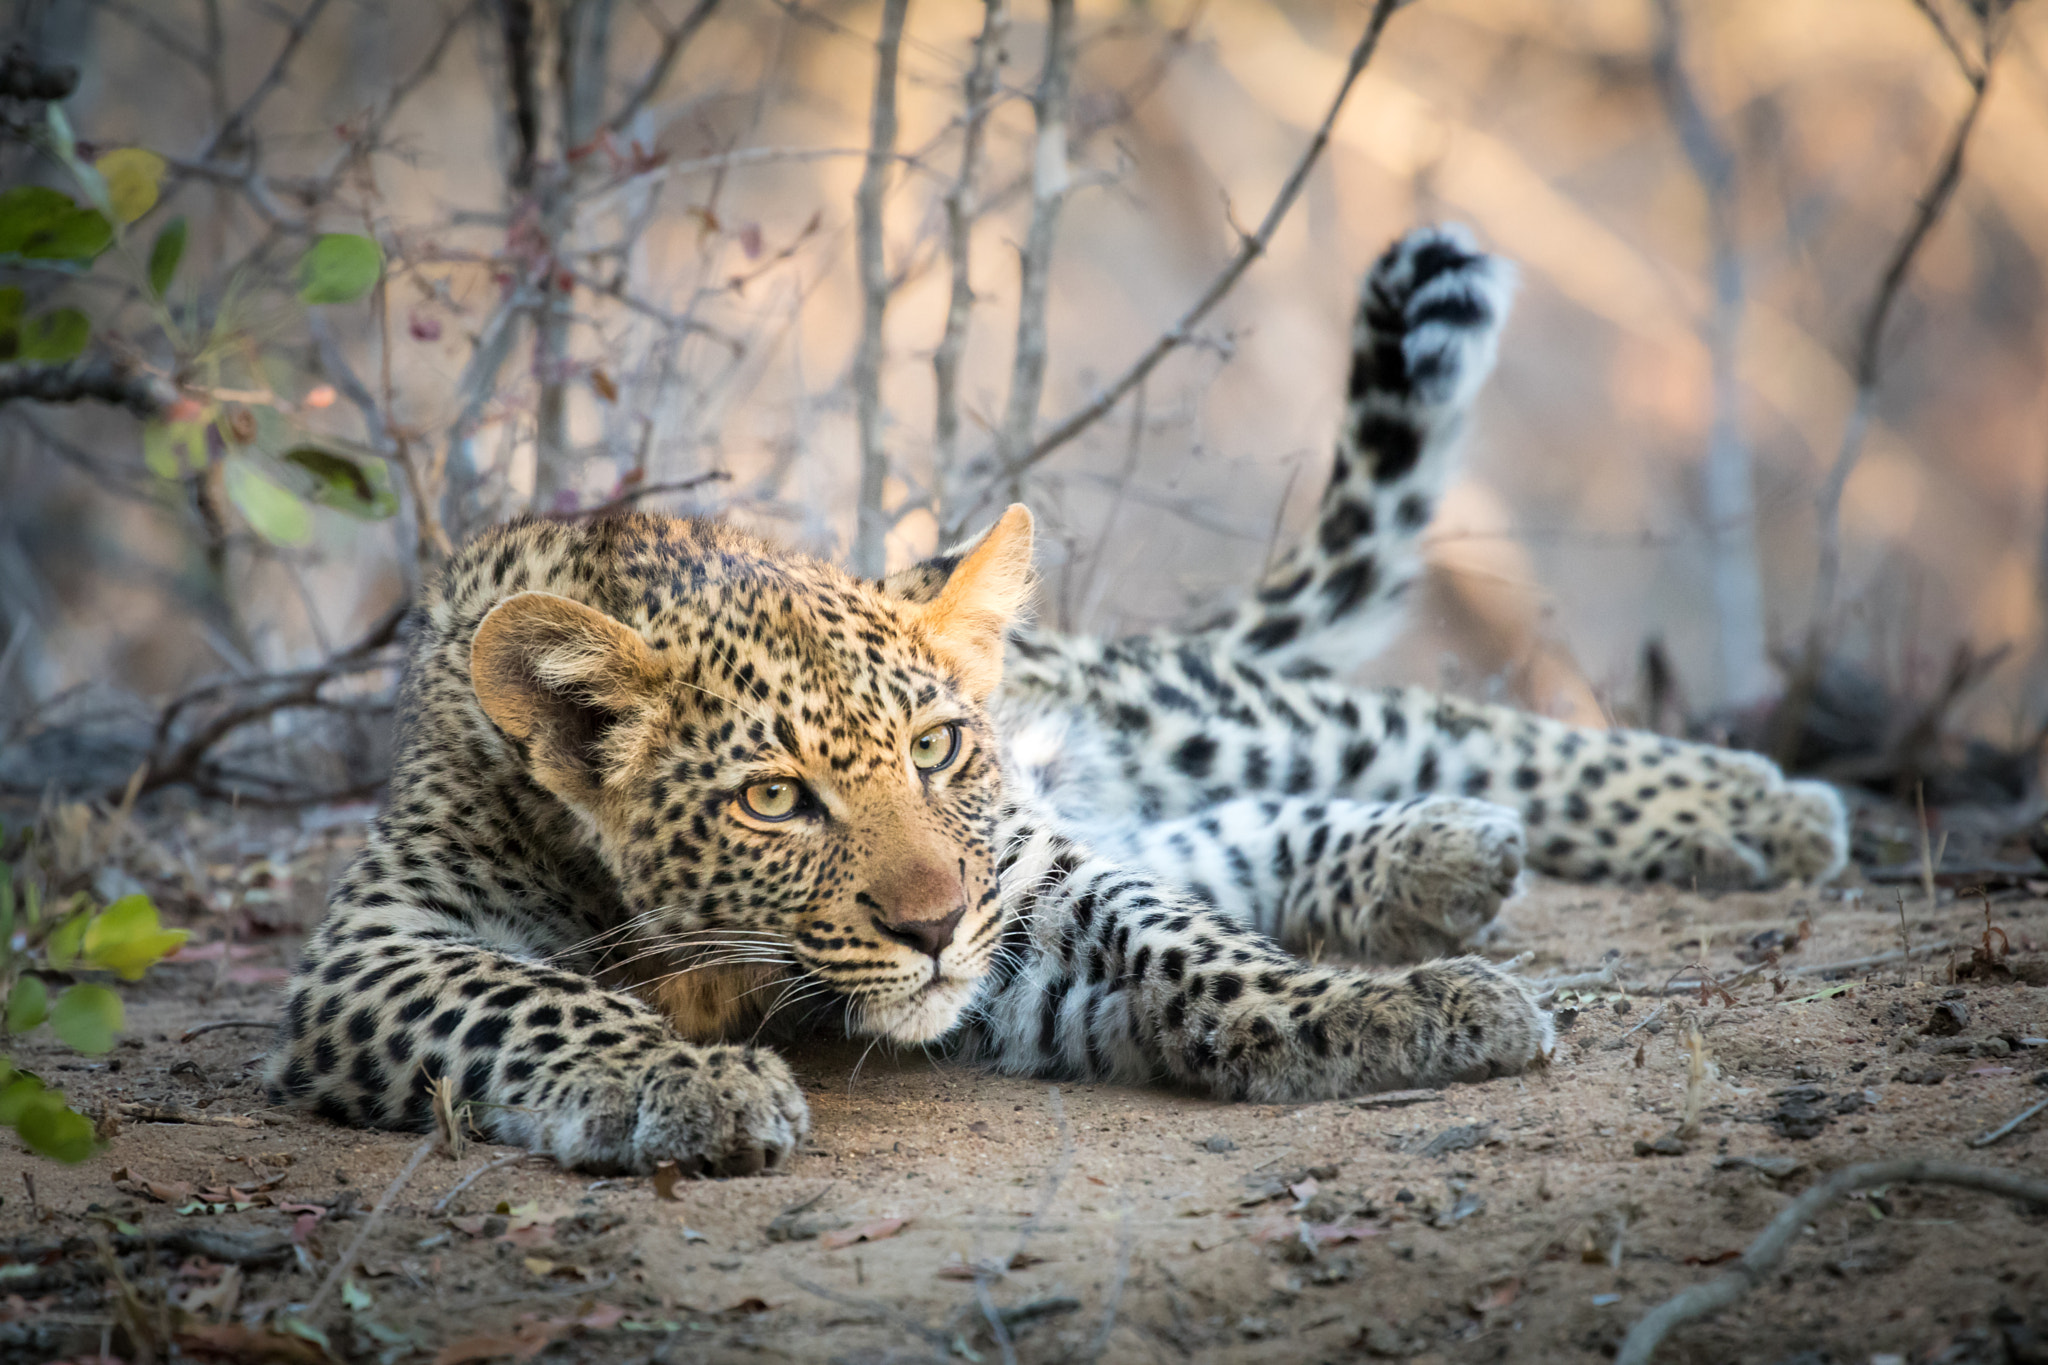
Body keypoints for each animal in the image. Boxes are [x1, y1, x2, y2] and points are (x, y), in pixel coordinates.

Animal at [266, 225, 1847, 1175]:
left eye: (934, 747)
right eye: (775, 798)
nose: (930, 924)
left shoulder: (1020, 888)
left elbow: (1185, 946)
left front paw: (1377, 1011)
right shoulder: (376, 951)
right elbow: (528, 1001)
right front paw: (688, 1085)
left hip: (1190, 717)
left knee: (1432, 729)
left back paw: (1745, 810)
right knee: (1224, 833)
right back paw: (1433, 862)